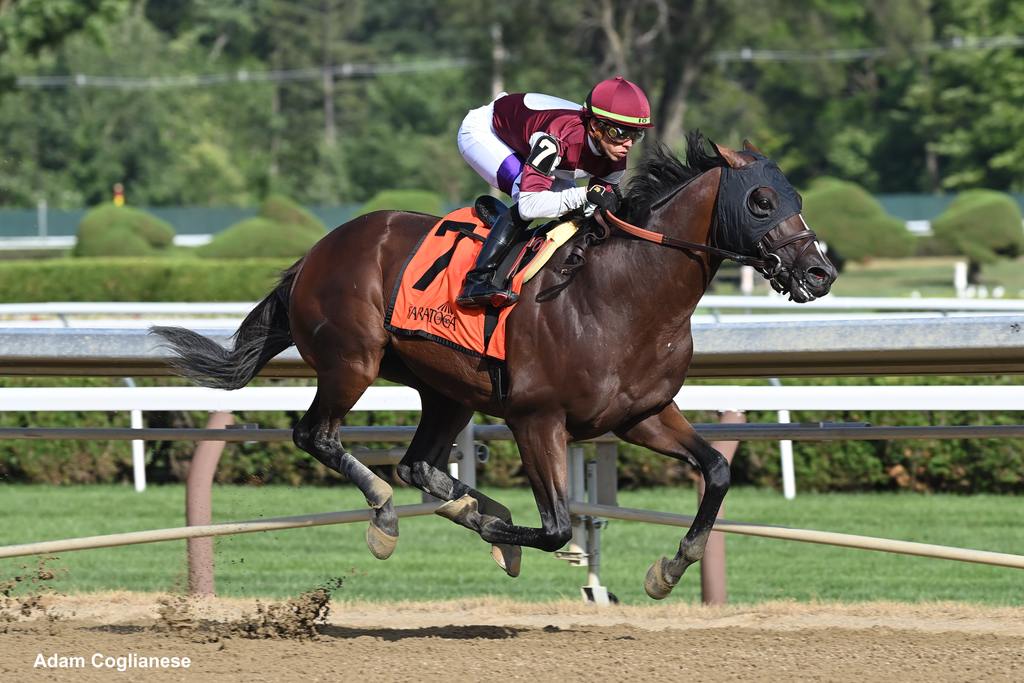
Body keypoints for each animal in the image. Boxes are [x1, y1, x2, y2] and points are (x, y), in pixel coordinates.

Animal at [155, 132, 835, 598]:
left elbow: (716, 470)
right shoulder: (536, 419)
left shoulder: (641, 414)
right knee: (318, 436)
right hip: (352, 362)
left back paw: (461, 504)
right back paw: (388, 516)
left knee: (418, 465)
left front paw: (668, 568)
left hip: (447, 390)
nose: (819, 271)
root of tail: (317, 250)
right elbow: (557, 527)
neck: (621, 295)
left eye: (798, 196)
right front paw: (504, 540)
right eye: (762, 200)